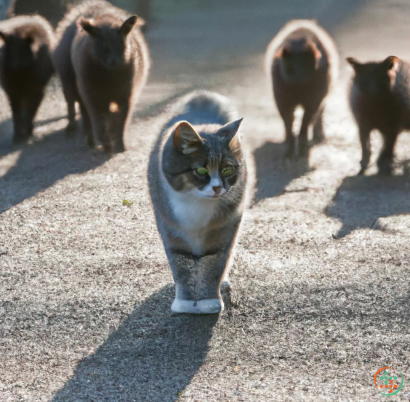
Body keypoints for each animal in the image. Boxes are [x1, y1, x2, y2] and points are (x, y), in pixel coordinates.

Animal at [150, 91, 248, 314]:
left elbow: (214, 262)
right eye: (201, 170)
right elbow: (181, 264)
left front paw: (209, 301)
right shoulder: (170, 226)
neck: (196, 202)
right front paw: (185, 303)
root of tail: (202, 96)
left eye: (227, 169)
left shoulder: (225, 228)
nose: (218, 187)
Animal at [268, 19, 338, 157]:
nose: (298, 79)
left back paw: (318, 136)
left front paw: (302, 146)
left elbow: (306, 121)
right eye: (290, 69)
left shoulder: (314, 99)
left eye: (306, 65)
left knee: (318, 116)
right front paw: (289, 149)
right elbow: (288, 122)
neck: (299, 91)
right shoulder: (282, 99)